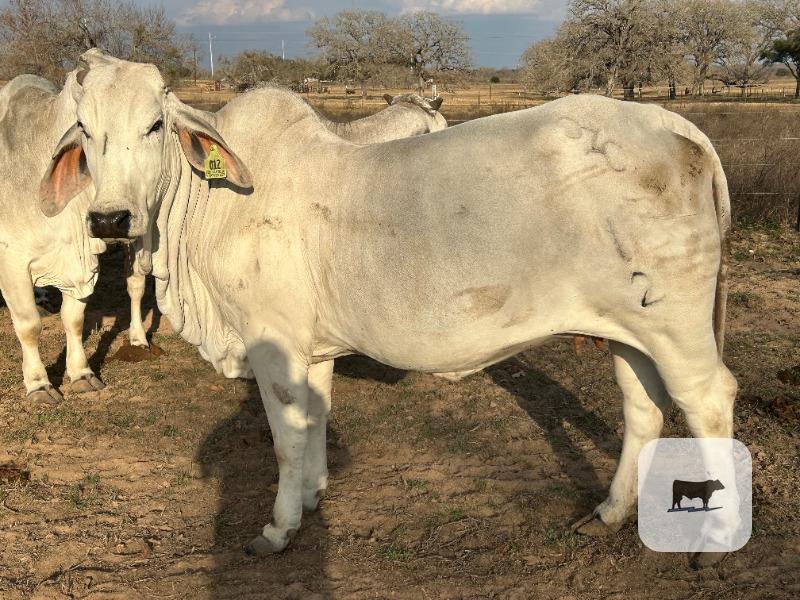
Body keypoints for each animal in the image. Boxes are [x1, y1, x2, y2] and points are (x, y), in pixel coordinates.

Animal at [42, 52, 738, 567]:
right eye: (86, 132)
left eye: (154, 126)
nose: (110, 218)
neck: (217, 200)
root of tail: (678, 128)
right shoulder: (312, 349)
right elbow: (315, 422)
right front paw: (314, 499)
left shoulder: (273, 343)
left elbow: (286, 440)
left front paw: (278, 528)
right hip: (629, 330)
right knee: (643, 407)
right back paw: (610, 514)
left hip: (676, 326)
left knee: (707, 401)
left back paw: (715, 542)